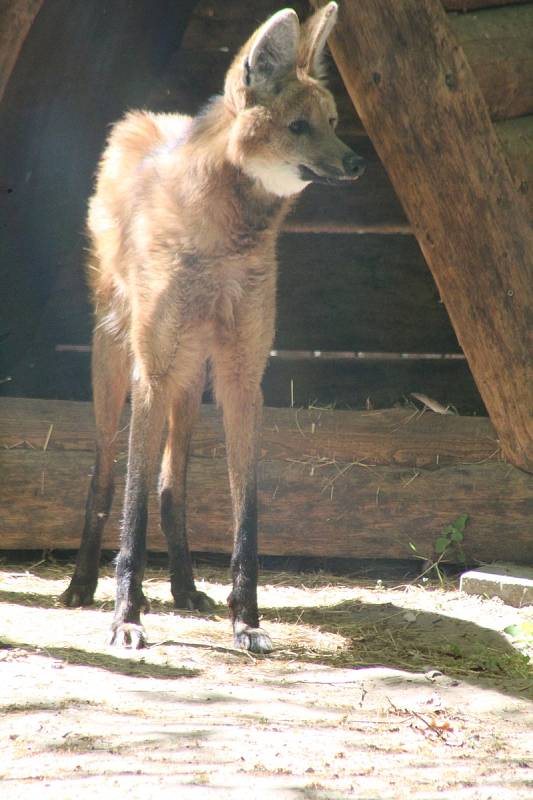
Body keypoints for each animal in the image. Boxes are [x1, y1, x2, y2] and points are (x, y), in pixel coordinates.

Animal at [61, 1, 362, 648]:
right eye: (299, 126)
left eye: (331, 121)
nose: (356, 162)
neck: (227, 241)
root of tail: (146, 119)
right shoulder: (153, 370)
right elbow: (132, 507)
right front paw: (126, 617)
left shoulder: (242, 376)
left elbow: (245, 512)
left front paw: (245, 621)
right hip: (119, 357)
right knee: (107, 475)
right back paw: (80, 585)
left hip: (191, 373)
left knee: (171, 486)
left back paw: (183, 587)